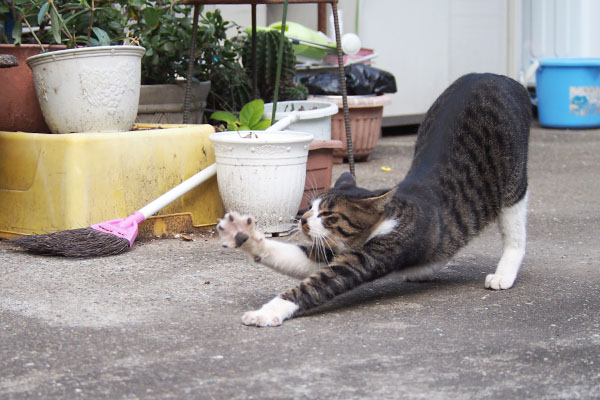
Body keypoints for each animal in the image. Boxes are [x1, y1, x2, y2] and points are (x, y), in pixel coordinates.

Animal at [216, 73, 528, 326]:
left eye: (327, 214)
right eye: (310, 207)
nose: (303, 219)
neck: (381, 224)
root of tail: (496, 76)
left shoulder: (377, 253)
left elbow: (313, 285)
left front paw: (265, 313)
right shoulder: (329, 251)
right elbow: (295, 257)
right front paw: (245, 236)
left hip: (515, 183)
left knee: (516, 233)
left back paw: (504, 274)